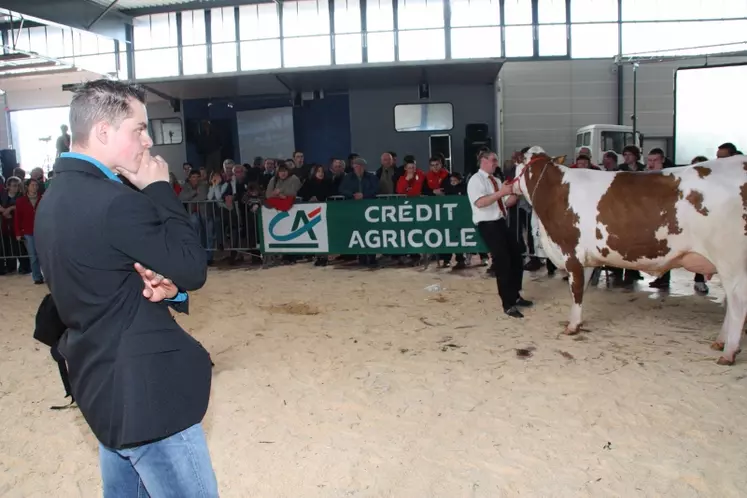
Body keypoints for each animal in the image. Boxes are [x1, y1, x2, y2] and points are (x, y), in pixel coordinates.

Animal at [516, 146, 747, 364]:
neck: (555, 190)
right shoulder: (586, 259)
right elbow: (582, 289)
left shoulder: (571, 253)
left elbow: (577, 291)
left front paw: (572, 326)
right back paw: (721, 342)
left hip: (730, 261)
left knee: (737, 304)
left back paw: (728, 352)